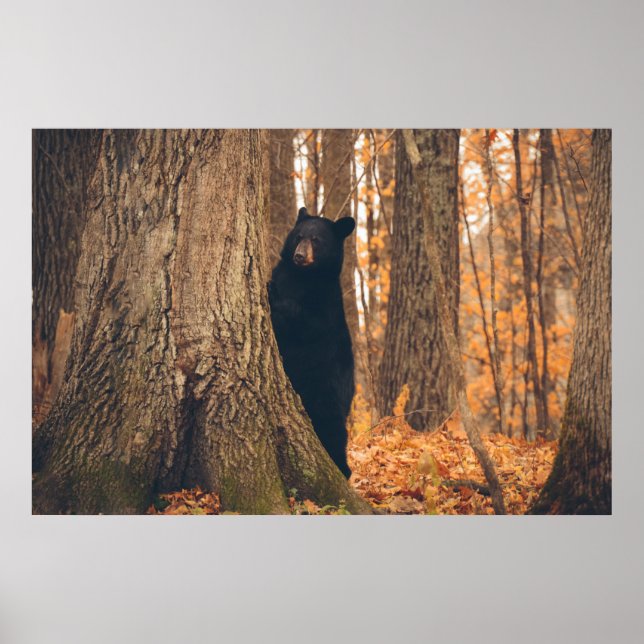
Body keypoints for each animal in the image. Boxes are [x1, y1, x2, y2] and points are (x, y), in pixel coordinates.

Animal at [268, 207, 356, 478]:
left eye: (316, 240)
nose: (299, 255)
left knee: (333, 433)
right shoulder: (284, 273)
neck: (303, 276)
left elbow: (309, 324)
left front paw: (276, 299)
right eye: (299, 236)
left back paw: (343, 469)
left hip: (327, 395)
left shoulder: (325, 303)